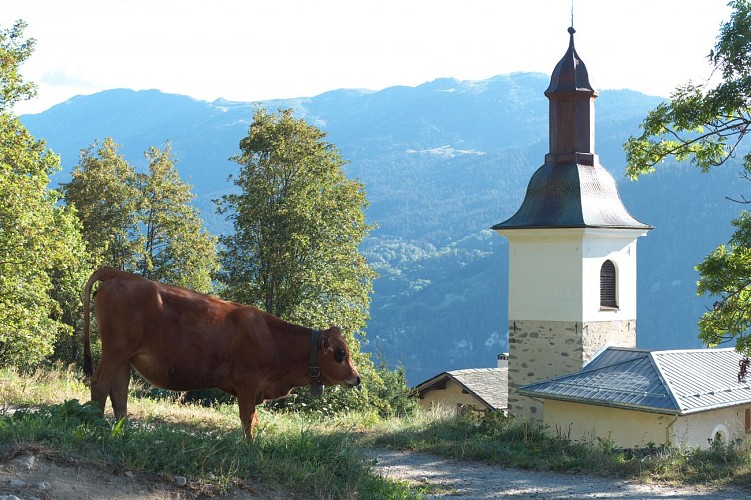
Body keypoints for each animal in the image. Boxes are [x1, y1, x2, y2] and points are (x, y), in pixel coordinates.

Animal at [82, 268, 362, 436]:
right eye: (340, 353)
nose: (357, 378)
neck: (273, 340)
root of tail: (119, 274)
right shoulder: (248, 384)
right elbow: (248, 421)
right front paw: (250, 450)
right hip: (115, 350)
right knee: (100, 383)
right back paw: (94, 424)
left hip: (125, 356)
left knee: (119, 392)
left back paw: (123, 431)